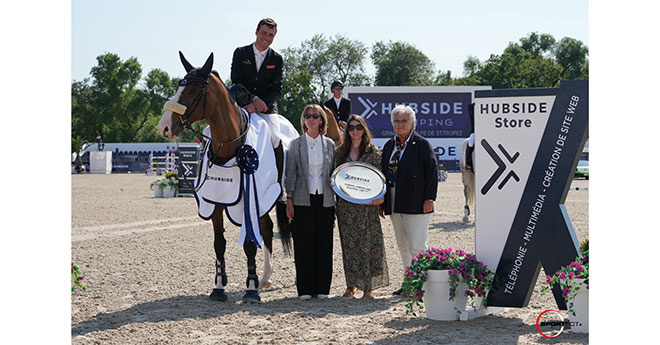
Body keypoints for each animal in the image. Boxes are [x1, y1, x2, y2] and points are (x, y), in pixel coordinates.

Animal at [157, 51, 292, 300]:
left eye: (193, 90)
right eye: (178, 87)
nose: (164, 127)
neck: (230, 146)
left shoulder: (249, 202)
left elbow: (249, 243)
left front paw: (251, 290)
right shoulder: (216, 203)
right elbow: (219, 243)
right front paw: (219, 287)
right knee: (267, 228)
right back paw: (265, 277)